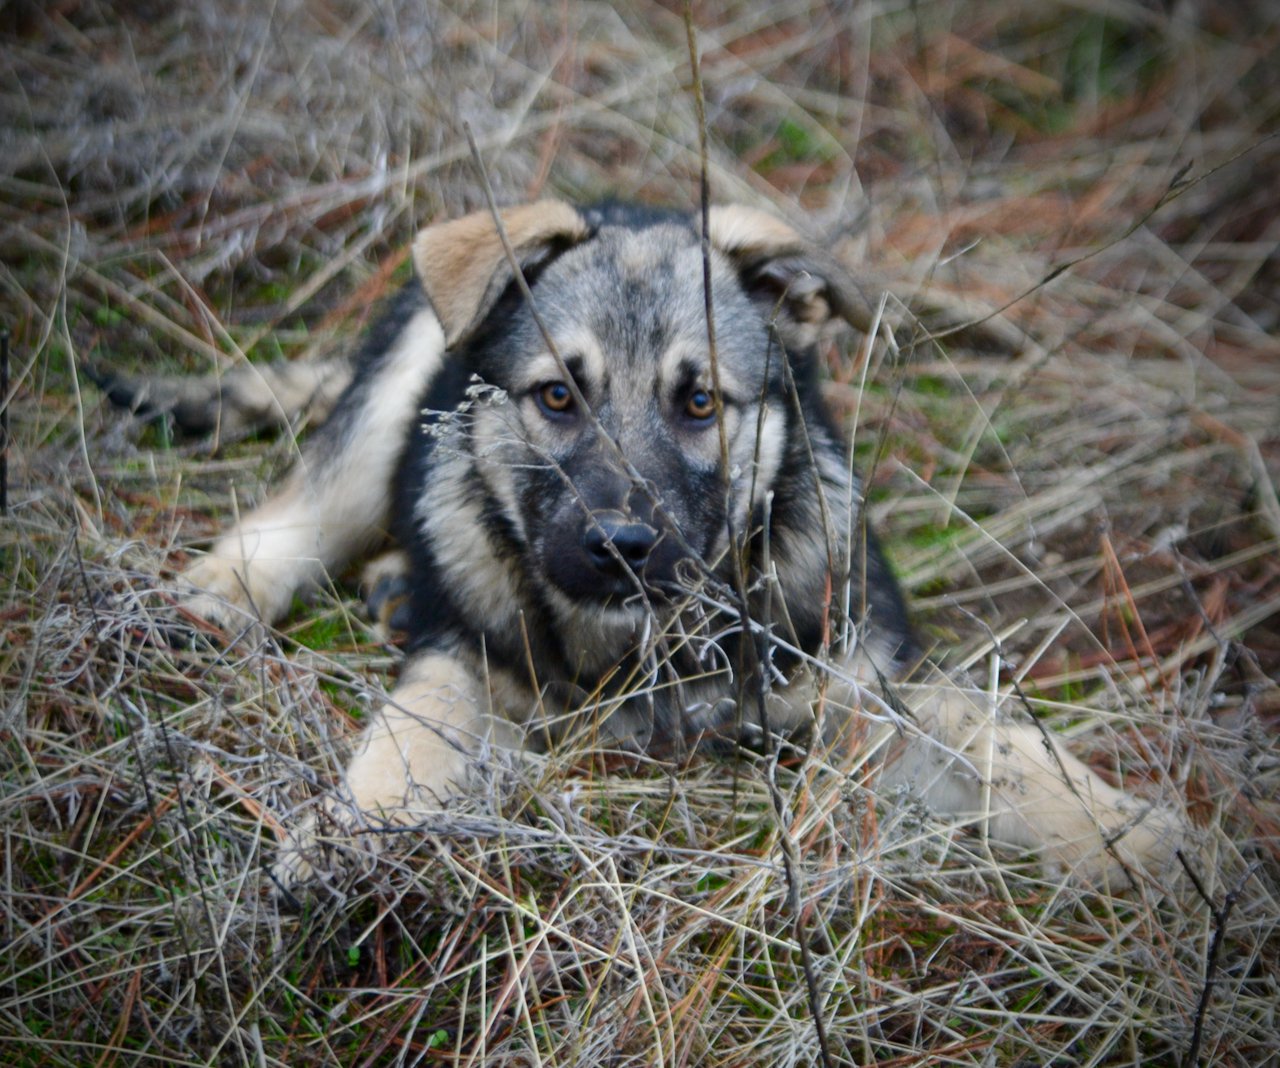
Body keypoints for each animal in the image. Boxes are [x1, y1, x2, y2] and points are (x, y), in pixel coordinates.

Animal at [97, 197, 1177, 881]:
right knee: (312, 501)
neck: (645, 641)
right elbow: (413, 731)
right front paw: (347, 829)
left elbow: (1000, 741)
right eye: (555, 397)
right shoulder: (464, 655)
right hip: (400, 391)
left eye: (699, 402)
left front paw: (1130, 835)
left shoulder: (867, 680)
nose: (619, 545)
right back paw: (217, 596)